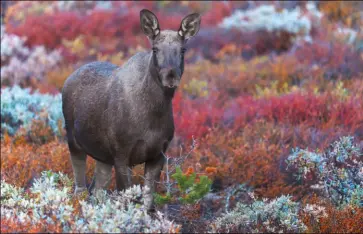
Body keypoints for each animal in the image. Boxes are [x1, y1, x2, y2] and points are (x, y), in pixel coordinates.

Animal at [62, 9, 202, 211]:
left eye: (183, 49)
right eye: (155, 49)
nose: (171, 77)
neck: (153, 114)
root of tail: (68, 78)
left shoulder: (158, 154)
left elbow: (148, 202)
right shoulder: (121, 154)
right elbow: (127, 199)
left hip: (103, 157)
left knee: (97, 189)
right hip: (74, 142)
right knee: (80, 186)